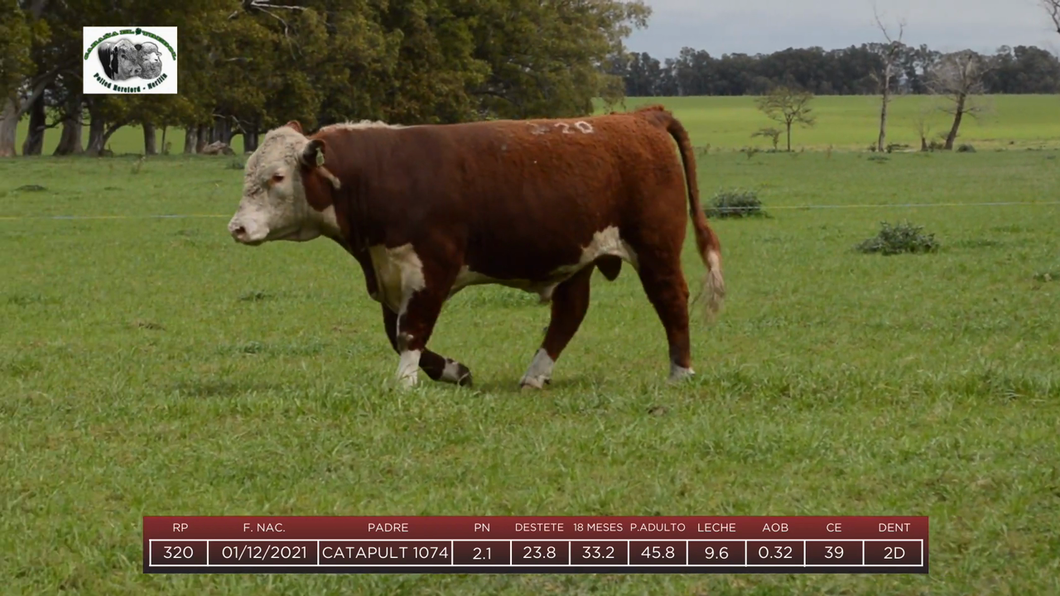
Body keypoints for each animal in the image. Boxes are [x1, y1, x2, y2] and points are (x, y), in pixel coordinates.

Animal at [226, 104, 725, 388]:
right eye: (251, 170)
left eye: (277, 177)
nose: (237, 228)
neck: (382, 173)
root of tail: (641, 116)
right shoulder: (389, 273)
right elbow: (394, 331)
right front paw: (454, 371)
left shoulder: (431, 267)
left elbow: (410, 331)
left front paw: (404, 382)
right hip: (576, 254)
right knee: (570, 312)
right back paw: (535, 376)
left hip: (656, 245)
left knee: (670, 299)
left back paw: (681, 373)